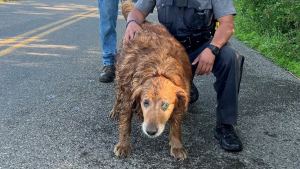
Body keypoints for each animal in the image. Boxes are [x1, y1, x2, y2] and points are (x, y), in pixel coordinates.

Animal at [109, 0, 192, 161]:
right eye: (145, 102)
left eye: (165, 105)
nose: (151, 131)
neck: (159, 68)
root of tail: (144, 22)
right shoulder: (128, 95)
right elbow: (125, 124)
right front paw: (123, 144)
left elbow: (176, 126)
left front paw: (177, 145)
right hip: (120, 75)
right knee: (117, 95)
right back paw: (115, 110)